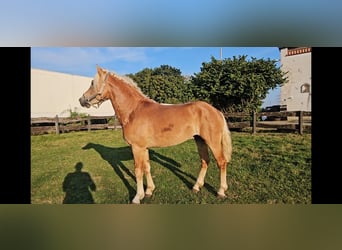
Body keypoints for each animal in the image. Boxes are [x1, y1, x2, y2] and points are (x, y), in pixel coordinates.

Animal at [79, 64, 232, 203]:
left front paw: (137, 197)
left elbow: (138, 171)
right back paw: (196, 187)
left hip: (213, 142)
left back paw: (221, 191)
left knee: (221, 162)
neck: (133, 110)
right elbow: (147, 167)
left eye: (92, 83)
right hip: (199, 140)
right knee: (205, 161)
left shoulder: (137, 148)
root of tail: (216, 111)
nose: (82, 100)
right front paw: (149, 191)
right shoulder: (144, 148)